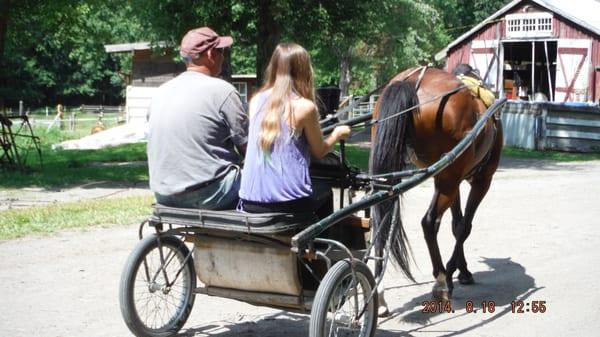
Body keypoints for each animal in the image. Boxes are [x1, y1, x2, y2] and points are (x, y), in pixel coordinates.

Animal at [368, 64, 504, 312]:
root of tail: (411, 82)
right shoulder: (481, 179)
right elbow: (464, 226)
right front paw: (452, 274)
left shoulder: (454, 181)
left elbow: (456, 224)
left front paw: (463, 270)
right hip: (448, 179)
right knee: (429, 222)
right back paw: (440, 281)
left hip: (403, 175)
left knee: (380, 220)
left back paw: (379, 294)